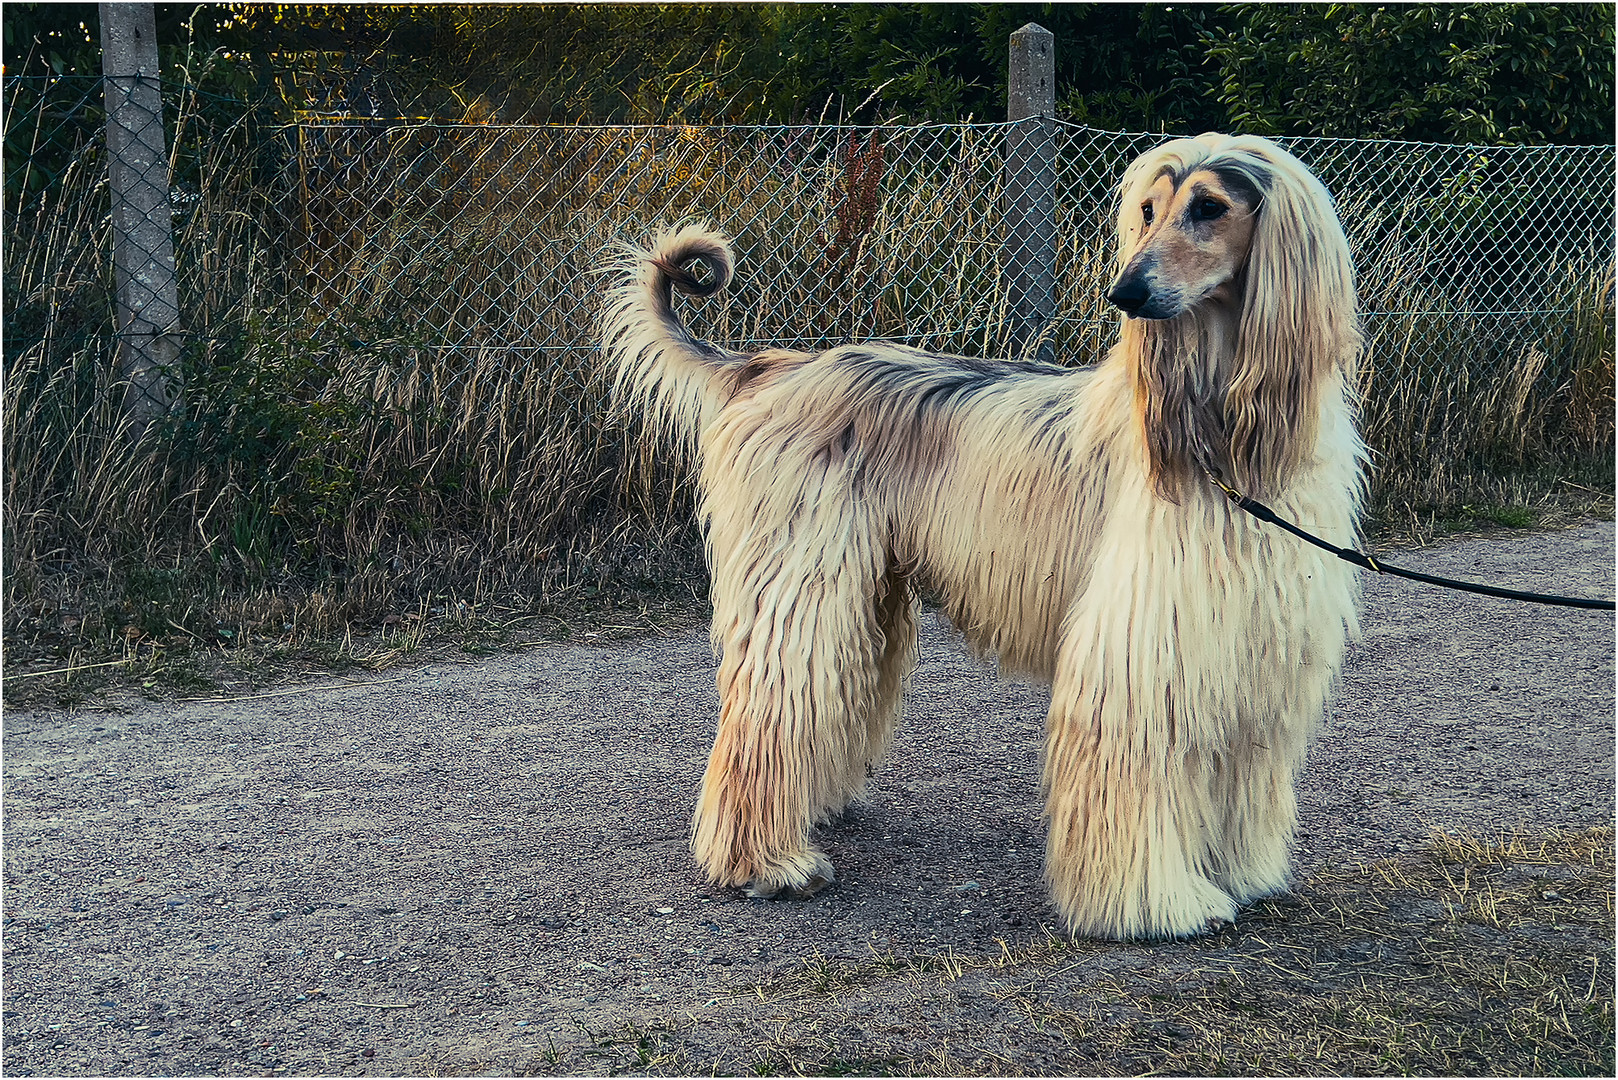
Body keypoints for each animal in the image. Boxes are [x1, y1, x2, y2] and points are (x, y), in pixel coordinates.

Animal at [601, 131, 1359, 939]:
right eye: (1149, 210)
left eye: (1210, 207)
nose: (1126, 293)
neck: (1228, 435)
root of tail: (766, 368)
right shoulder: (1141, 640)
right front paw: (1156, 902)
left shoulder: (1256, 636)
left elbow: (1248, 762)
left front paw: (1244, 874)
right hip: (801, 579)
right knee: (771, 705)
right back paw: (766, 862)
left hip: (864, 586)